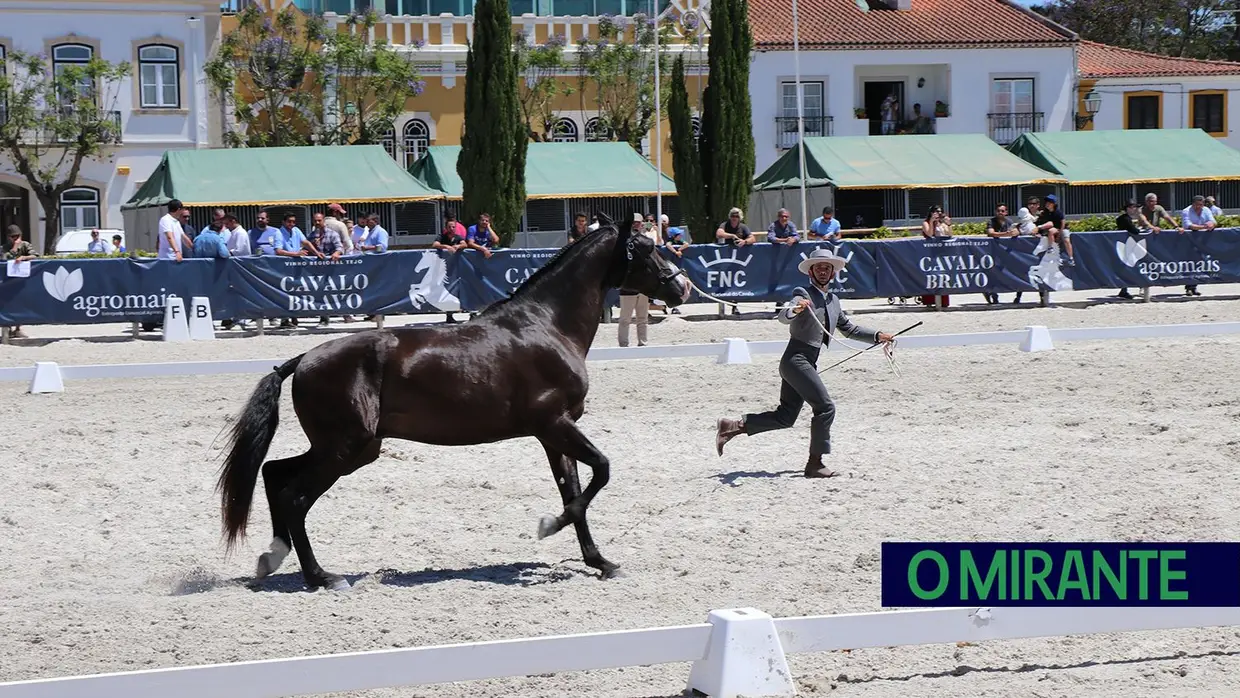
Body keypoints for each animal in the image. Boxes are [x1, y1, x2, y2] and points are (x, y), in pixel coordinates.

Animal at [217, 216, 694, 590]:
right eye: (647, 247)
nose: (683, 287)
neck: (547, 326)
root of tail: (303, 359)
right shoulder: (555, 424)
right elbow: (599, 474)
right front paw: (548, 526)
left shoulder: (552, 434)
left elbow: (574, 490)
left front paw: (601, 562)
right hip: (345, 449)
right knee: (294, 497)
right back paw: (322, 577)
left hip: (347, 449)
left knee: (273, 473)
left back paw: (272, 557)